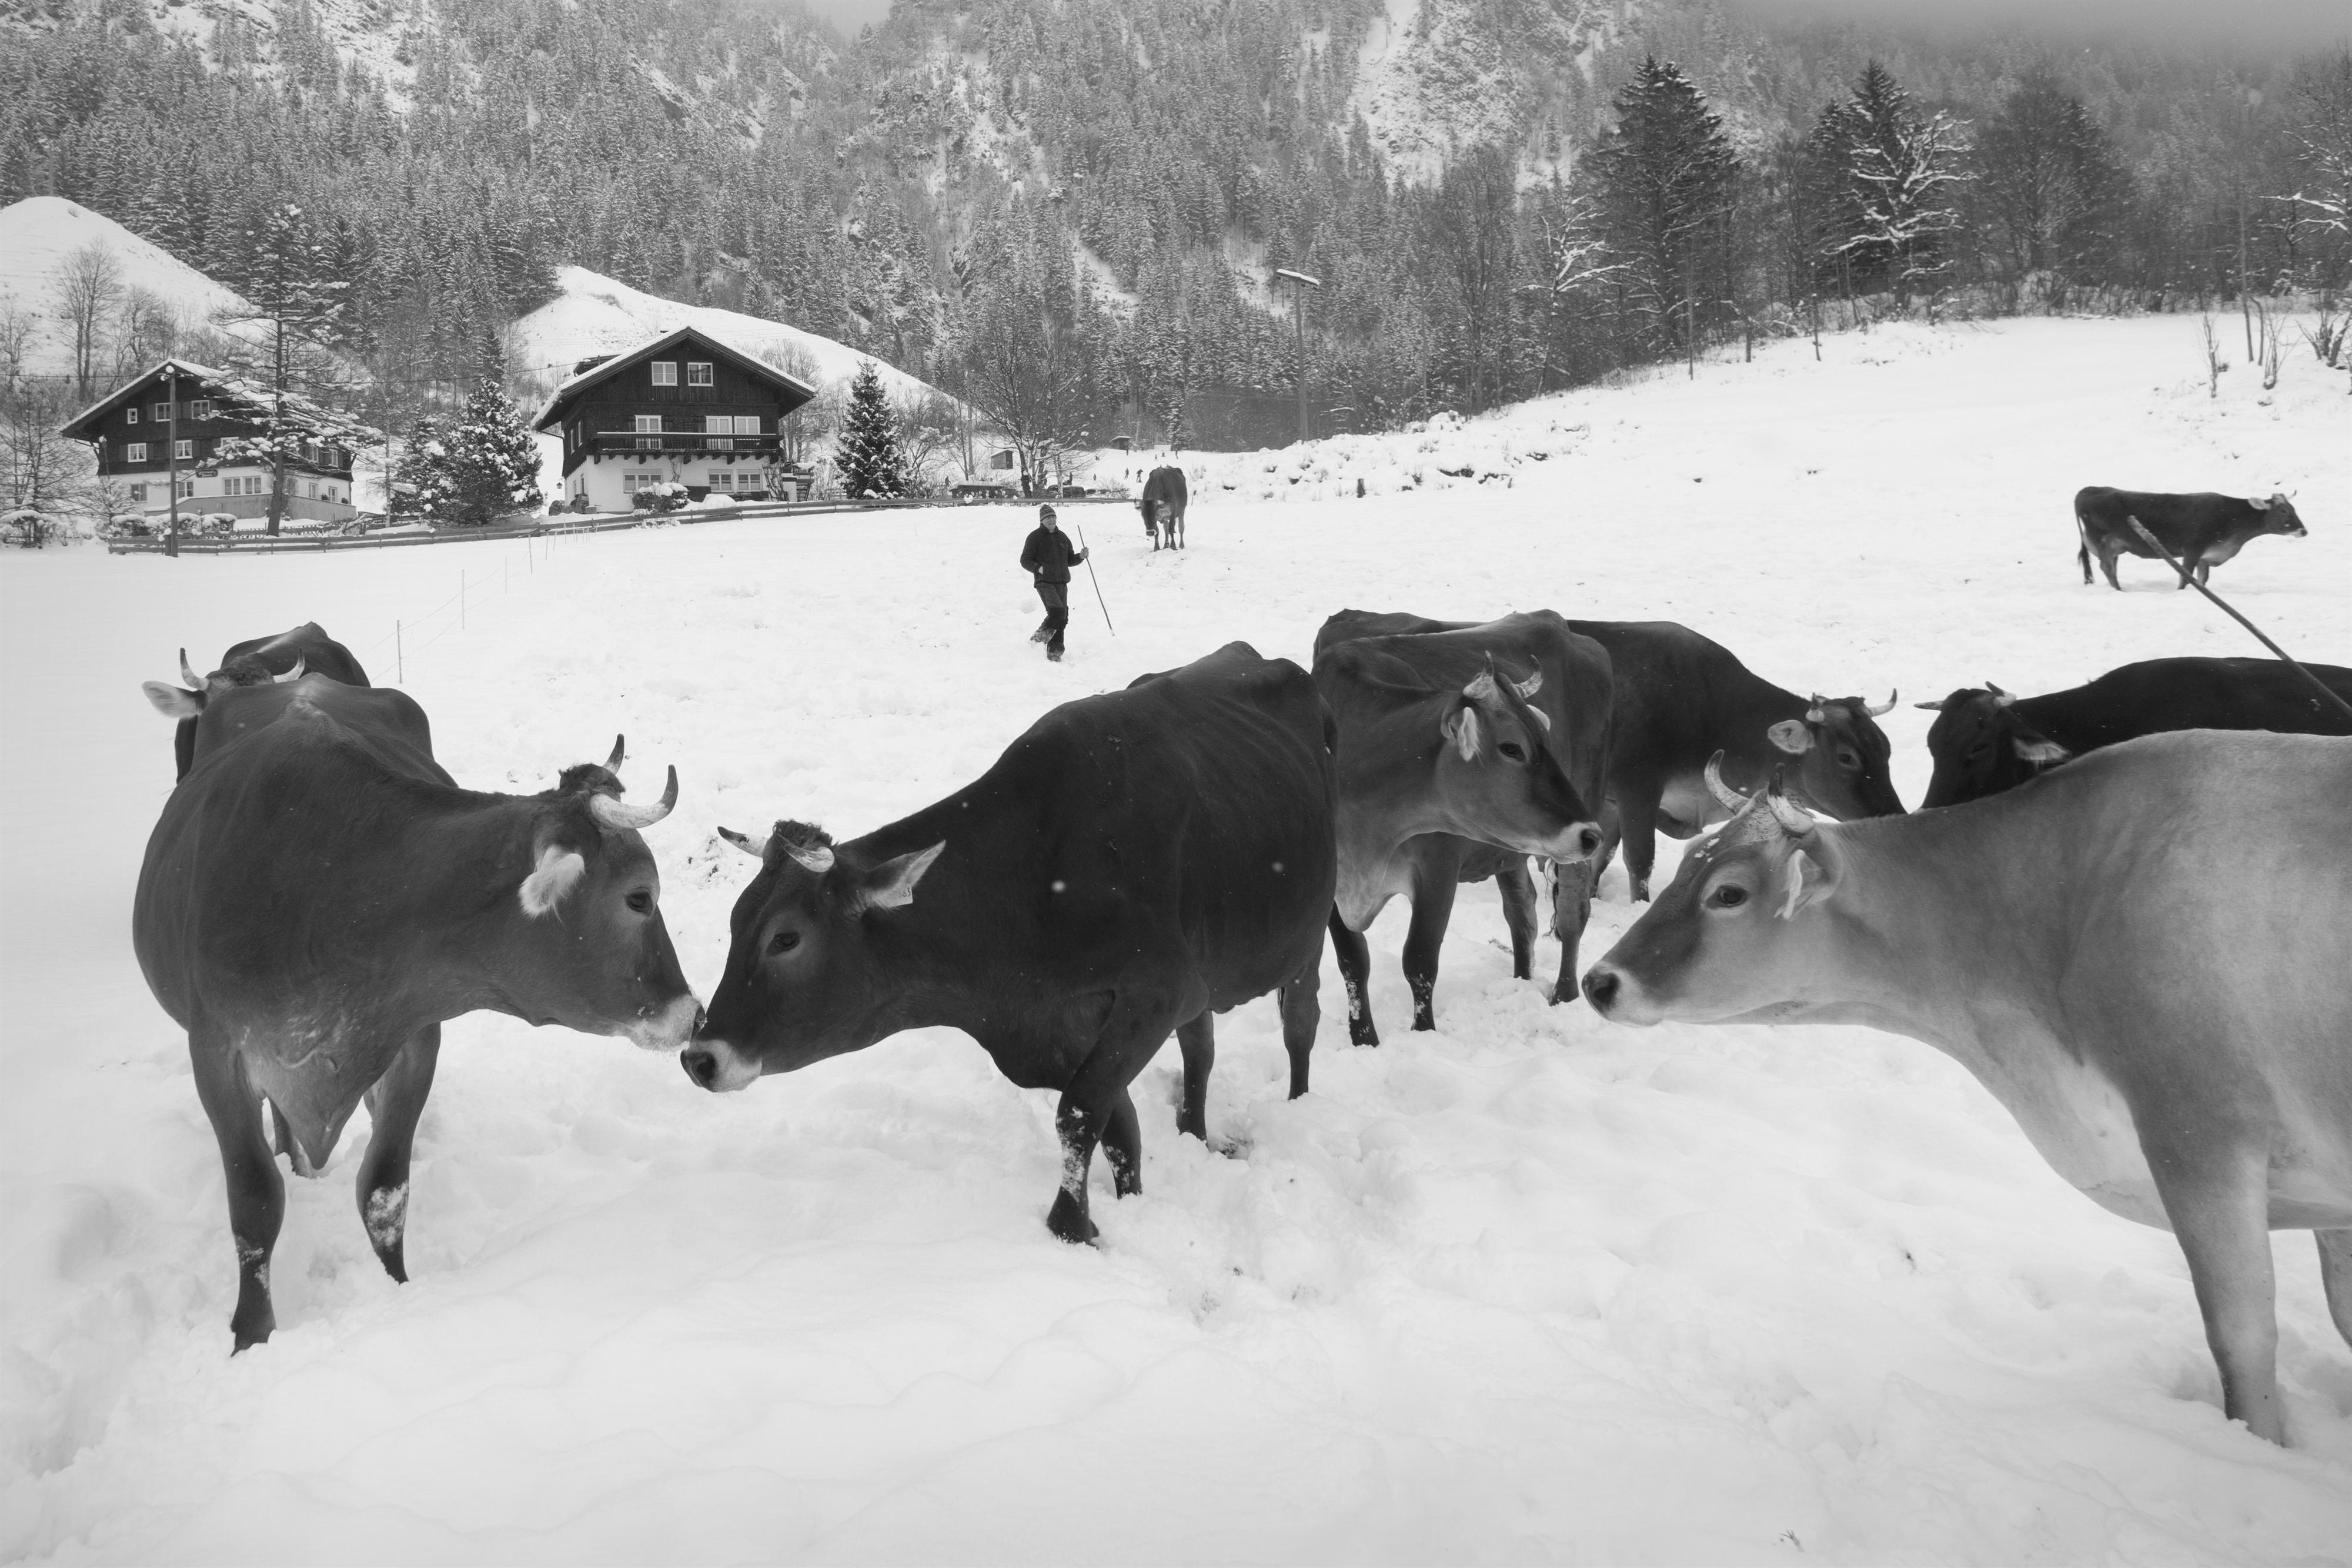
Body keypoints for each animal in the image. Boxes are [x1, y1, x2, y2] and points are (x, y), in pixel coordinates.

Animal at [134, 677, 700, 1350]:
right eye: (640, 897)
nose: (693, 1014)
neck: (334, 893)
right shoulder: (217, 1054)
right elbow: (254, 1200)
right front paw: (251, 1336)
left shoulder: (414, 1039)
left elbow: (385, 1189)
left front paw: (397, 1293)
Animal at [682, 642, 1337, 1245]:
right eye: (736, 920)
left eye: (786, 939)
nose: (699, 1057)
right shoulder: (1058, 1023)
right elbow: (1118, 1124)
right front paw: (1123, 1208)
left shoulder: (1158, 991)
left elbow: (1081, 1111)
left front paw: (1070, 1226)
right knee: (1200, 1050)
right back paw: (1193, 1134)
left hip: (1307, 935)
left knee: (1299, 1021)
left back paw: (1300, 1104)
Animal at [1140, 464, 1188, 550]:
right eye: (1142, 515)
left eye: (1156, 514)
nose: (1150, 533)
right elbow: (1157, 531)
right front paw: (1156, 548)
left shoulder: (1173, 511)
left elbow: (1171, 529)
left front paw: (1173, 546)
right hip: (1166, 517)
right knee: (1166, 529)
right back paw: (1166, 545)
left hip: (1182, 511)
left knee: (1181, 528)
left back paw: (1181, 545)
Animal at [1312, 611, 1611, 1043]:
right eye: (1512, 747)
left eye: (1546, 739)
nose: (1591, 834)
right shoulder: (1333, 877)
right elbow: (1352, 961)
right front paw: (1364, 1039)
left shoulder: (1438, 867)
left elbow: (1419, 960)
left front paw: (1423, 1033)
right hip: (1510, 849)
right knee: (1521, 910)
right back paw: (1522, 980)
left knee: (1572, 913)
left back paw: (1564, 994)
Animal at [2074, 487, 2308, 590]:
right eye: (2284, 511)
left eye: (2293, 508)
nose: (2303, 531)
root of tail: (2089, 490)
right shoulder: (2192, 549)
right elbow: (2185, 578)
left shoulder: (2206, 556)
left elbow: (2202, 580)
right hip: (2102, 540)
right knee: (2107, 568)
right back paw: (2120, 591)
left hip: (2113, 546)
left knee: (2111, 567)